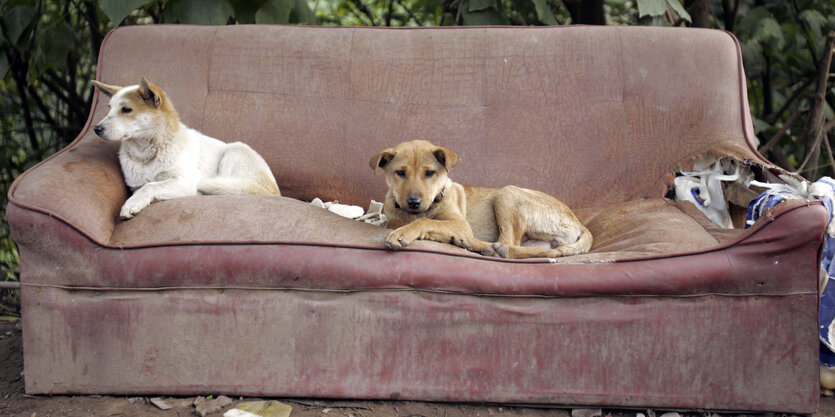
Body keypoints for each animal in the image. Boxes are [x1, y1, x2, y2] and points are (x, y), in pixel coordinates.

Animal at [93, 77, 280, 218]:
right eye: (109, 108)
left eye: (126, 109)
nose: (96, 129)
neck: (149, 153)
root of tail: (274, 192)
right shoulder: (135, 186)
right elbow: (145, 187)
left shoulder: (185, 181)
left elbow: (151, 186)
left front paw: (132, 204)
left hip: (234, 151)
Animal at [370, 140, 592, 256]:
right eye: (400, 173)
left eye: (429, 173)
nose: (414, 202)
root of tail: (580, 224)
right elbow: (399, 220)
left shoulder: (460, 223)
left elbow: (425, 221)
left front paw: (404, 233)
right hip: (537, 241)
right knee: (530, 250)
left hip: (507, 193)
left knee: (507, 243)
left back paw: (476, 245)